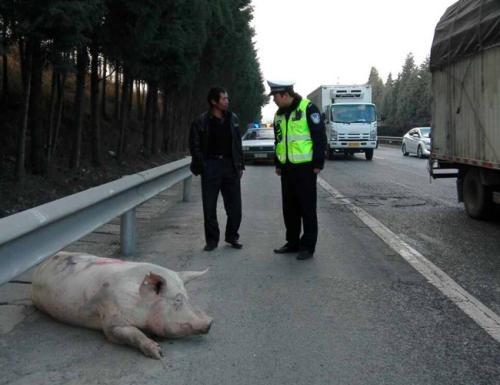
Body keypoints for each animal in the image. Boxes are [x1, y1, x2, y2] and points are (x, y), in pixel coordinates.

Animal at [31, 250, 211, 358]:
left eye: (188, 298)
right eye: (177, 300)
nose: (210, 322)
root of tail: (41, 265)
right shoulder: (111, 320)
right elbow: (131, 333)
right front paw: (158, 353)